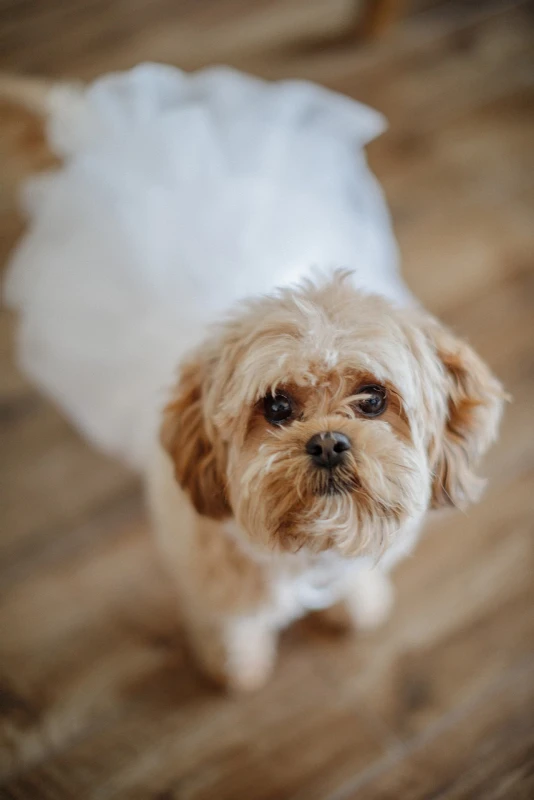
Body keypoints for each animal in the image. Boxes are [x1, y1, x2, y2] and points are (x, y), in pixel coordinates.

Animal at [2, 65, 506, 692]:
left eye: (372, 400)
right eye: (277, 407)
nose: (328, 442)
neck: (307, 551)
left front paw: (357, 603)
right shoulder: (214, 584)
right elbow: (232, 627)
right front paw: (236, 668)